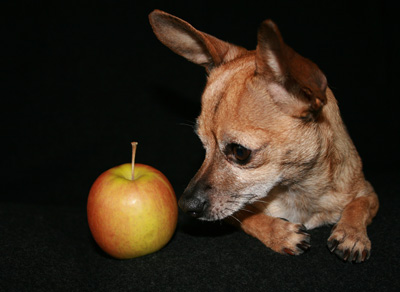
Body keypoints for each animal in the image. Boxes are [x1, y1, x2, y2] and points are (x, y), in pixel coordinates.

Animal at [149, 10, 378, 264]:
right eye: (203, 146)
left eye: (240, 152)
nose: (185, 205)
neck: (297, 189)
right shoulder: (234, 212)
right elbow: (248, 216)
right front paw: (280, 233)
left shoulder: (370, 193)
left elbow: (359, 205)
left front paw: (352, 234)